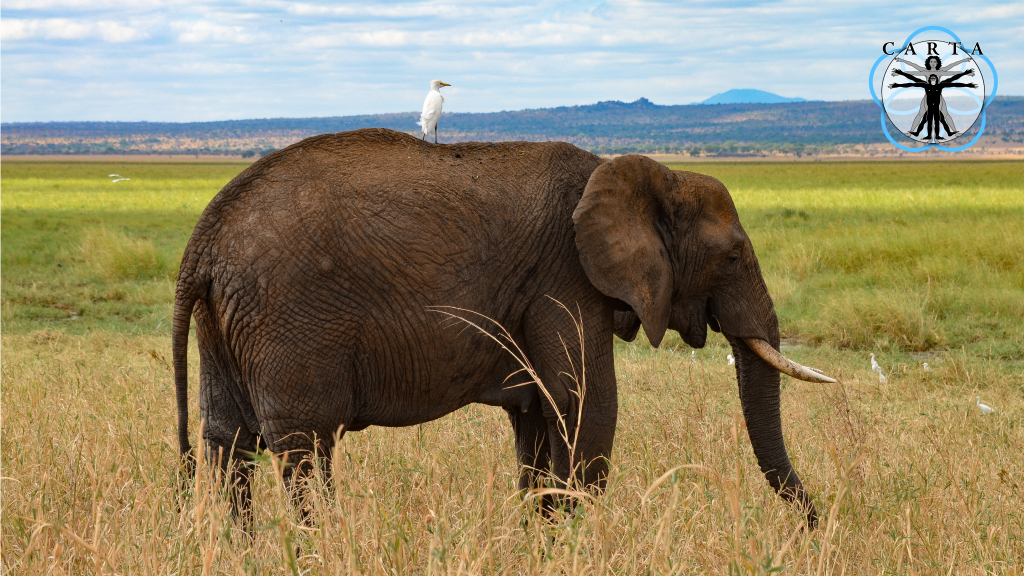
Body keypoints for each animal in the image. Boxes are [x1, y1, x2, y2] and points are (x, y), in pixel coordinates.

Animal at [174, 127, 831, 522]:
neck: (641, 174)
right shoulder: (563, 278)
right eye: (732, 256)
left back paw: (244, 551)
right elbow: (587, 407)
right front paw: (573, 541)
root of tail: (201, 240)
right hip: (287, 318)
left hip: (226, 320)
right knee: (304, 449)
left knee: (227, 442)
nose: (814, 522)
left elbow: (538, 419)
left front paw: (541, 537)